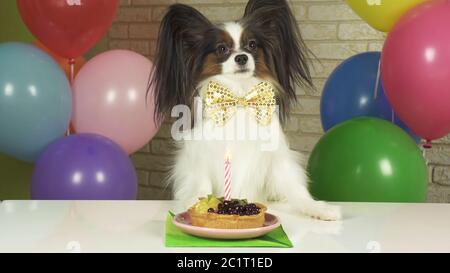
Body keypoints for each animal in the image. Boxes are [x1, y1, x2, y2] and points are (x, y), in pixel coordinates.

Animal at [151, 0, 342, 220]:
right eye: (222, 48)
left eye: (252, 45)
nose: (242, 57)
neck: (239, 94)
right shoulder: (200, 155)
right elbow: (201, 184)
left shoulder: (275, 155)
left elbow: (294, 187)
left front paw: (317, 208)